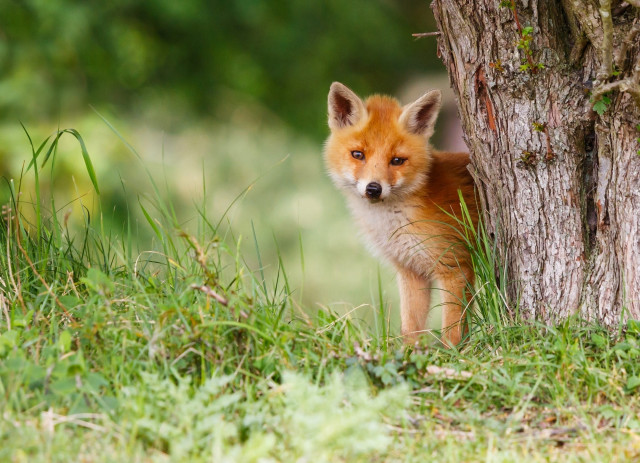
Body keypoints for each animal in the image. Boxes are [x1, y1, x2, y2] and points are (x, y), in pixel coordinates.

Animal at [324, 82, 478, 347]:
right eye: (358, 154)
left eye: (397, 160)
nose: (373, 188)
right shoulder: (411, 271)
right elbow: (411, 328)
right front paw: (409, 354)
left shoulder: (455, 267)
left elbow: (453, 330)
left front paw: (453, 355)